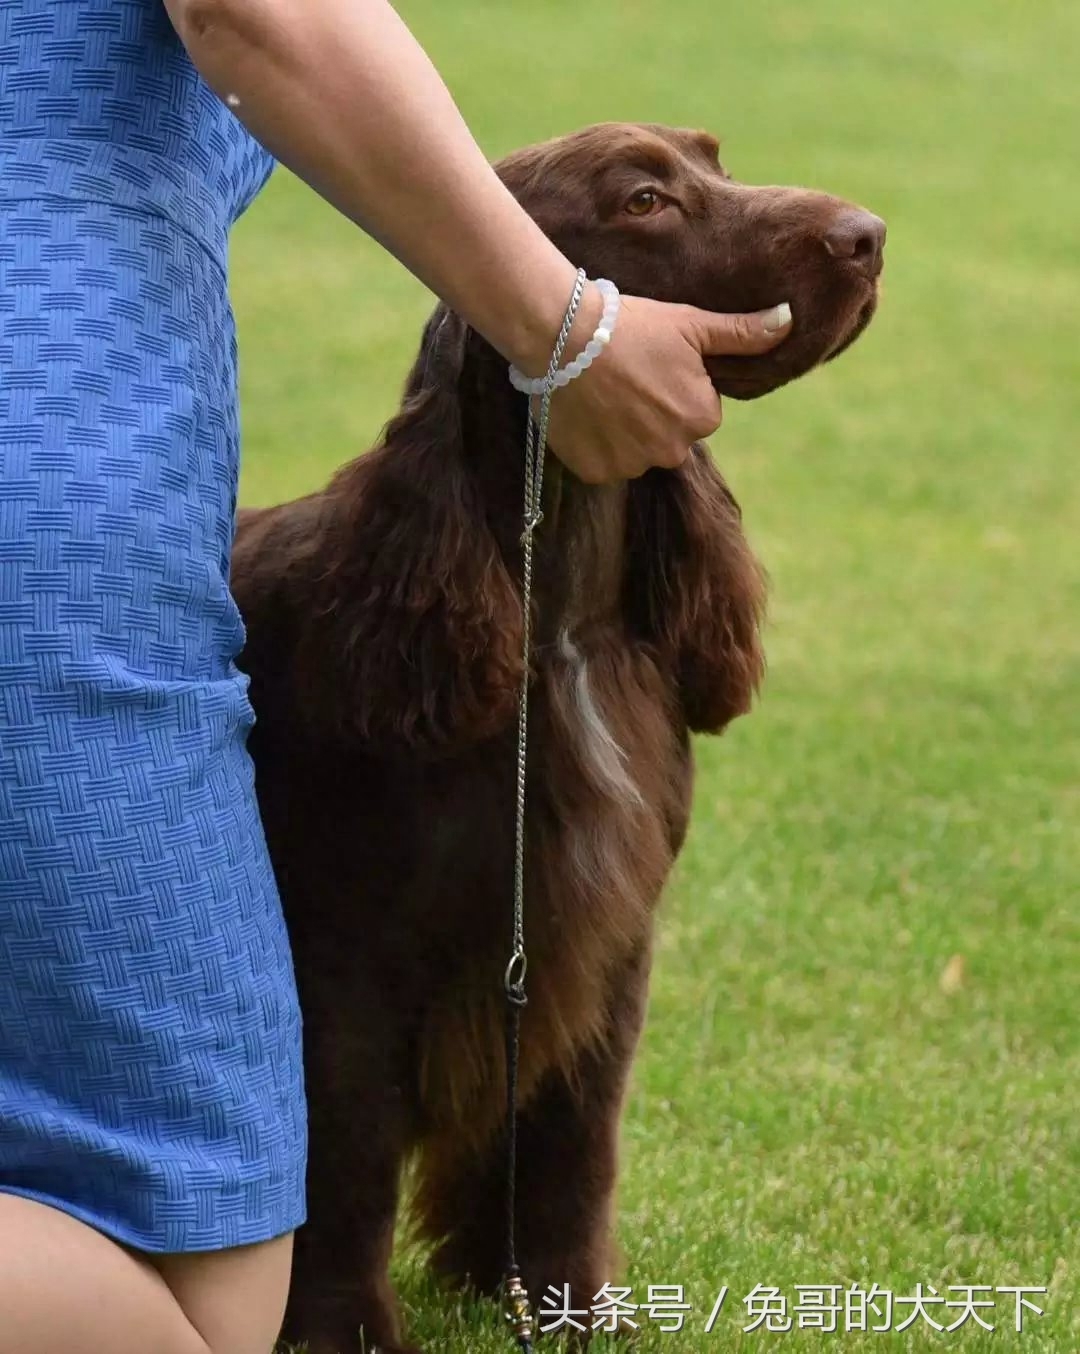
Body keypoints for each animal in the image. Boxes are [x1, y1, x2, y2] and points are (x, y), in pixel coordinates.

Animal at [230, 121, 887, 1348]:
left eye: (716, 160)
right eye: (643, 200)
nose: (867, 234)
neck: (559, 621)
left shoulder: (604, 938)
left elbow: (577, 1141)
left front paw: (566, 1302)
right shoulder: (348, 954)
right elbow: (346, 1157)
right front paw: (343, 1328)